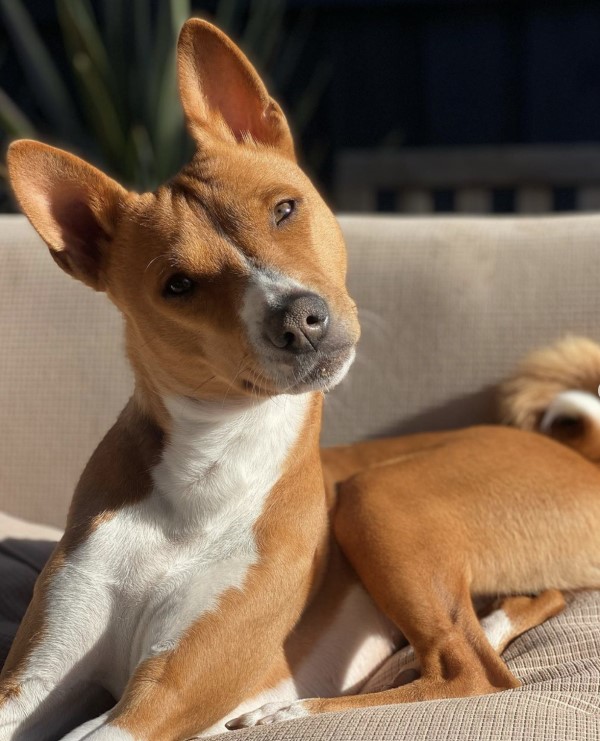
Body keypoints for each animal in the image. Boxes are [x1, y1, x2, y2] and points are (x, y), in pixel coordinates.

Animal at [1, 17, 600, 740]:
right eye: (178, 285)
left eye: (285, 209)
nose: (299, 319)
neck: (206, 471)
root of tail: (579, 456)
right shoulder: (33, 681)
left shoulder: (163, 694)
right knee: (505, 621)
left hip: (380, 495)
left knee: (475, 669)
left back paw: (289, 707)